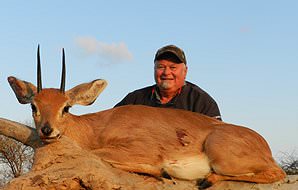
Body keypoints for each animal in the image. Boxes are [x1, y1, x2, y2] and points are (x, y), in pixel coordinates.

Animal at [8, 46, 286, 189]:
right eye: (34, 106)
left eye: (66, 107)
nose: (47, 130)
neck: (97, 127)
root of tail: (263, 146)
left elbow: (98, 154)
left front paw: (161, 172)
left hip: (223, 158)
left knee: (277, 173)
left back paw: (206, 179)